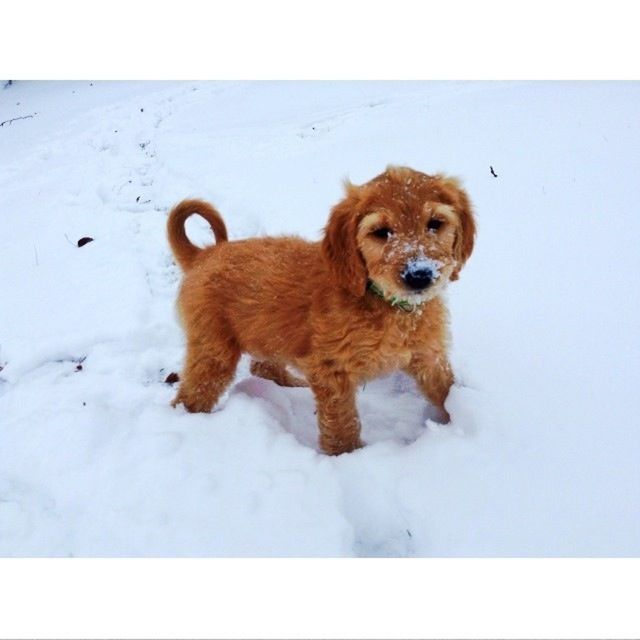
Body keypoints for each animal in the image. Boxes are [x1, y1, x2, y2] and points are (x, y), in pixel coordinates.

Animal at [168, 165, 472, 456]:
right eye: (382, 232)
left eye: (435, 224)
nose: (419, 275)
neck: (387, 304)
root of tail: (203, 254)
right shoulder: (332, 369)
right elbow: (342, 421)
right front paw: (347, 456)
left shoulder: (428, 355)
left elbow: (444, 387)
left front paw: (465, 417)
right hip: (213, 350)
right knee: (191, 394)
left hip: (269, 333)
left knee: (261, 366)